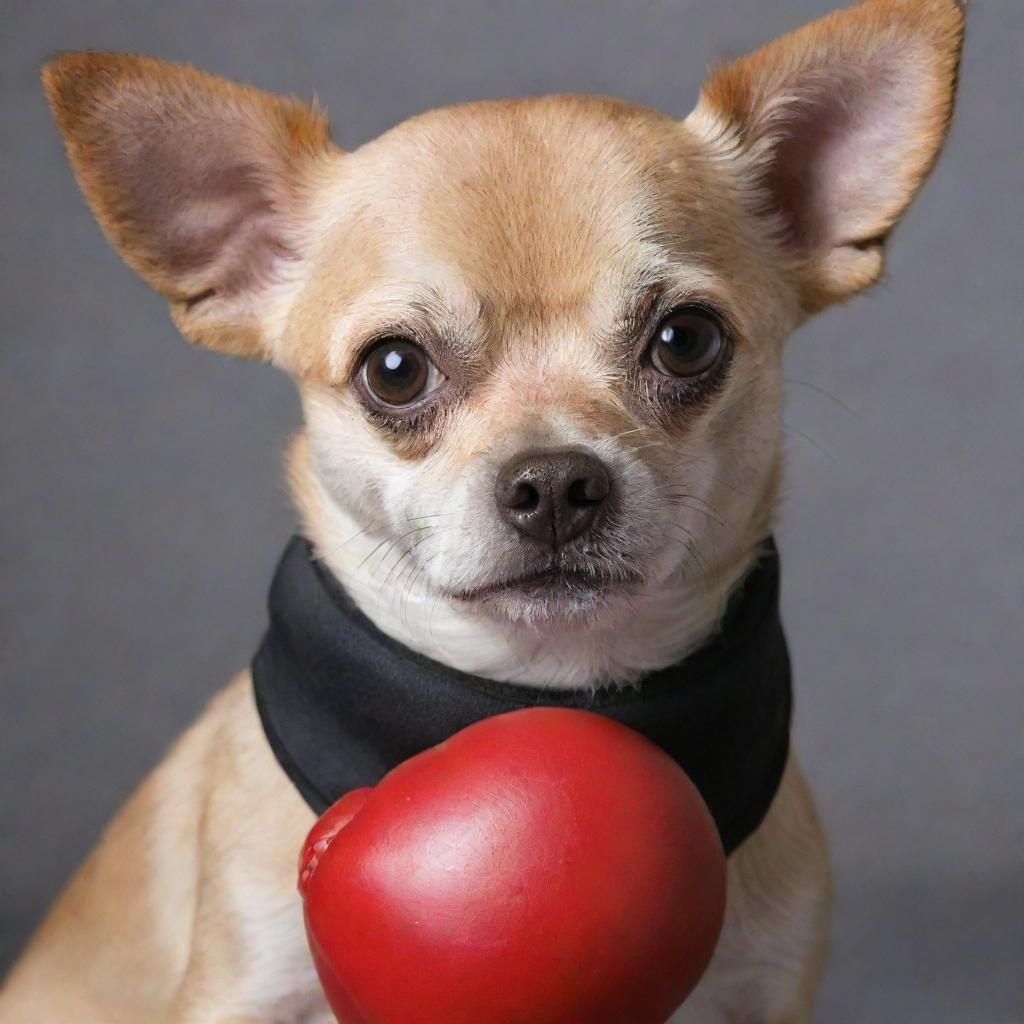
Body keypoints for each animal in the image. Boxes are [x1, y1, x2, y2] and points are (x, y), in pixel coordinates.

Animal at [2, 0, 958, 1019]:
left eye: (686, 341)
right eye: (394, 369)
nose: (556, 483)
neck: (529, 693)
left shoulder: (766, 989)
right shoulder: (244, 989)